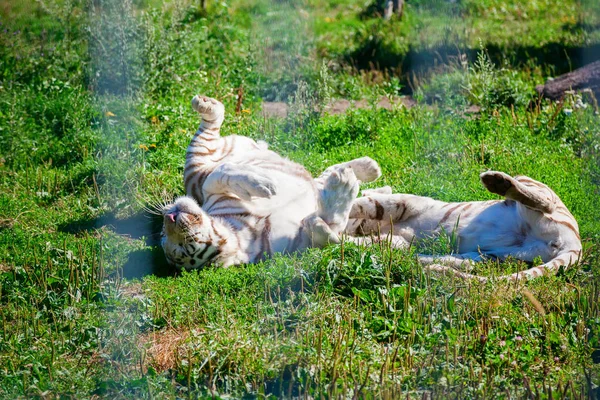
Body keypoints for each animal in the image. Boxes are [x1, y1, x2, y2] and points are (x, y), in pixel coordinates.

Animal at [162, 94, 382, 268]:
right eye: (183, 246)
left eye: (163, 235)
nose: (170, 216)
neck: (243, 229)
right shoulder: (300, 244)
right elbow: (330, 232)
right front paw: (343, 190)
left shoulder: (210, 193)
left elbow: (220, 173)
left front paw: (260, 183)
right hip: (196, 166)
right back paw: (353, 174)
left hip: (199, 164)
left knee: (211, 125)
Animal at [346, 172, 580, 282]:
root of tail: (573, 243)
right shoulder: (394, 238)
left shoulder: (404, 203)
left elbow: (364, 204)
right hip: (498, 256)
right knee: (468, 265)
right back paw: (428, 265)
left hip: (536, 188)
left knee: (544, 202)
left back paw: (498, 182)